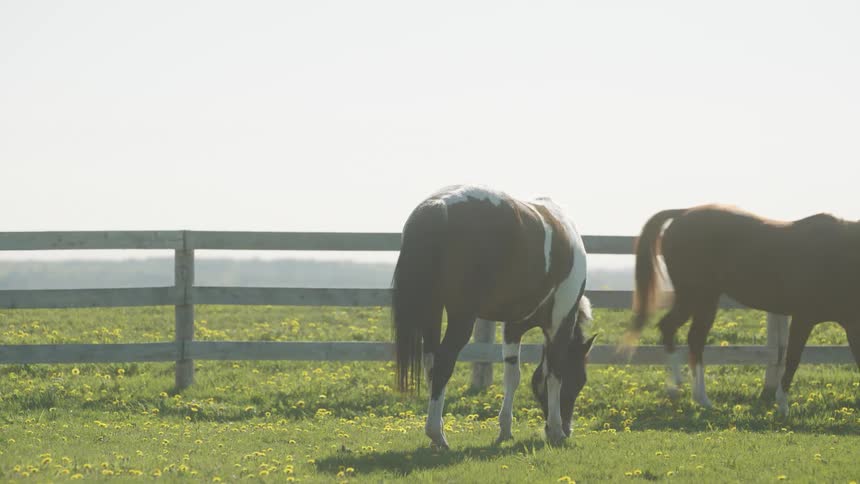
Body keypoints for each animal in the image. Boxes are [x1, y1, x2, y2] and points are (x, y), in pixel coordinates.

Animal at [392, 185, 596, 448]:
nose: (569, 429)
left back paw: (438, 435)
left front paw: (505, 430)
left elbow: (513, 376)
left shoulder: (513, 327)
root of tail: (438, 207)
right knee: (444, 361)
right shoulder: (561, 321)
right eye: (580, 380)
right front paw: (556, 430)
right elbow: (555, 373)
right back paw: (437, 435)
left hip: (432, 311)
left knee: (430, 363)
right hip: (461, 316)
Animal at [624, 204, 860, 415]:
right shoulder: (804, 318)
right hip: (694, 296)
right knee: (674, 330)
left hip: (704, 300)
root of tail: (683, 213)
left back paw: (698, 398)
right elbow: (792, 359)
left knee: (691, 338)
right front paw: (782, 406)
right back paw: (680, 390)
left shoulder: (851, 324)